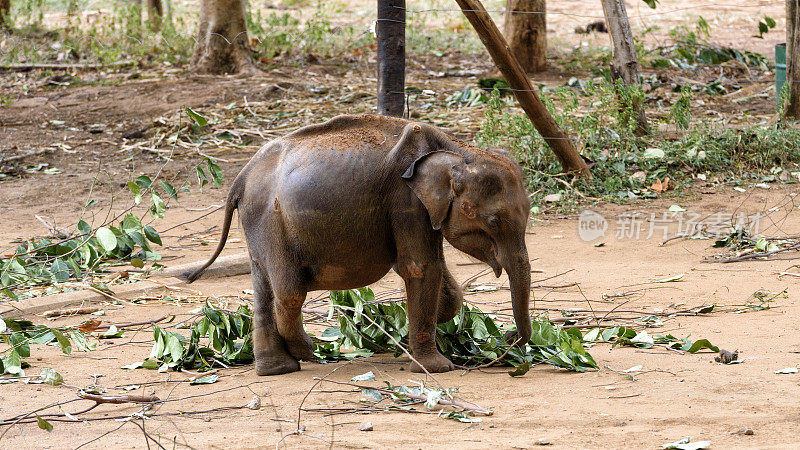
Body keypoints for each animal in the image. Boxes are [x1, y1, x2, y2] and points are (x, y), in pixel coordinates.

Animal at [188, 114, 536, 374]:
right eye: (494, 222)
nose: (507, 337)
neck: (455, 148)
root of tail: (240, 179)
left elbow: (431, 268)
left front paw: (414, 327)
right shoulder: (405, 198)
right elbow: (420, 267)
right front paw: (438, 367)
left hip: (257, 224)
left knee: (263, 286)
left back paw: (277, 369)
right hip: (271, 221)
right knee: (288, 291)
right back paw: (307, 352)